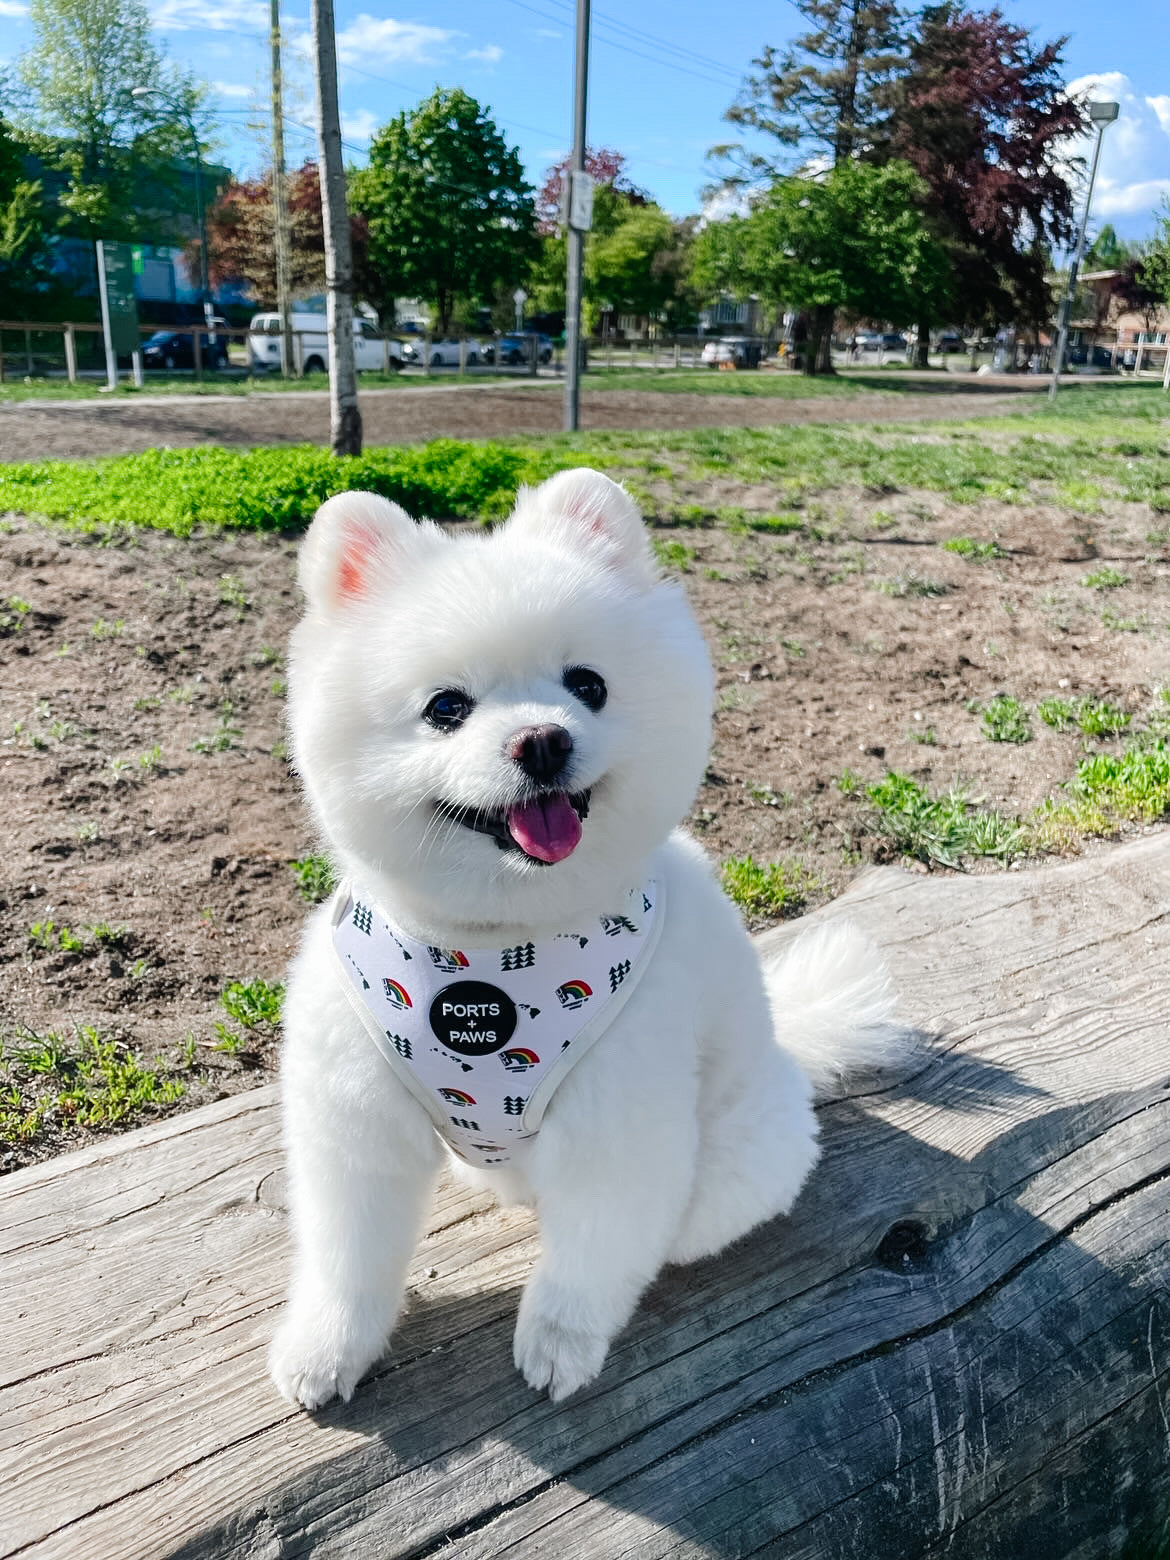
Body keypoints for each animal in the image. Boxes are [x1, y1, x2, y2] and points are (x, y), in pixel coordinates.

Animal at [269, 467, 904, 1410]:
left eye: (589, 685)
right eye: (446, 708)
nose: (542, 738)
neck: (491, 949)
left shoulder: (619, 1124)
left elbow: (591, 1258)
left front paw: (559, 1344)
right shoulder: (353, 1122)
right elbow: (350, 1261)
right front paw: (325, 1349)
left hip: (738, 1157)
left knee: (676, 1228)